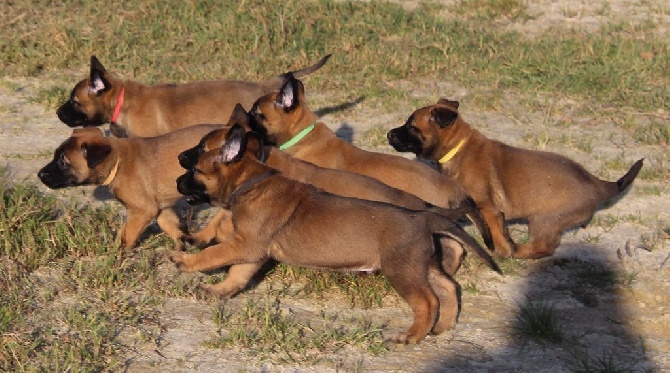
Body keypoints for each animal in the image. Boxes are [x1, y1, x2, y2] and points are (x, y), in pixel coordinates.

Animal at [38, 123, 223, 248]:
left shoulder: (142, 211)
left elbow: (127, 235)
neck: (117, 161)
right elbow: (170, 226)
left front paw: (116, 254)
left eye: (63, 162)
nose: (40, 174)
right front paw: (183, 245)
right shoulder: (159, 208)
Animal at [172, 124, 494, 342]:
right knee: (449, 287)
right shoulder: (252, 250)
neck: (252, 181)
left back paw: (411, 336)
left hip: (403, 271)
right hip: (422, 265)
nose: (177, 181)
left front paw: (186, 262)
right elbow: (236, 275)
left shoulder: (245, 244)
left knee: (428, 301)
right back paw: (443, 325)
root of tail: (424, 215)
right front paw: (218, 290)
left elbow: (214, 254)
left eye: (197, 170)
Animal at [388, 97, 644, 258]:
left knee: (545, 246)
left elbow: (496, 233)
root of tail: (596, 183)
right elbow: (500, 230)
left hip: (543, 219)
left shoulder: (488, 208)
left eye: (411, 126)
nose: (389, 134)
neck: (459, 147)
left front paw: (503, 252)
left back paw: (520, 251)